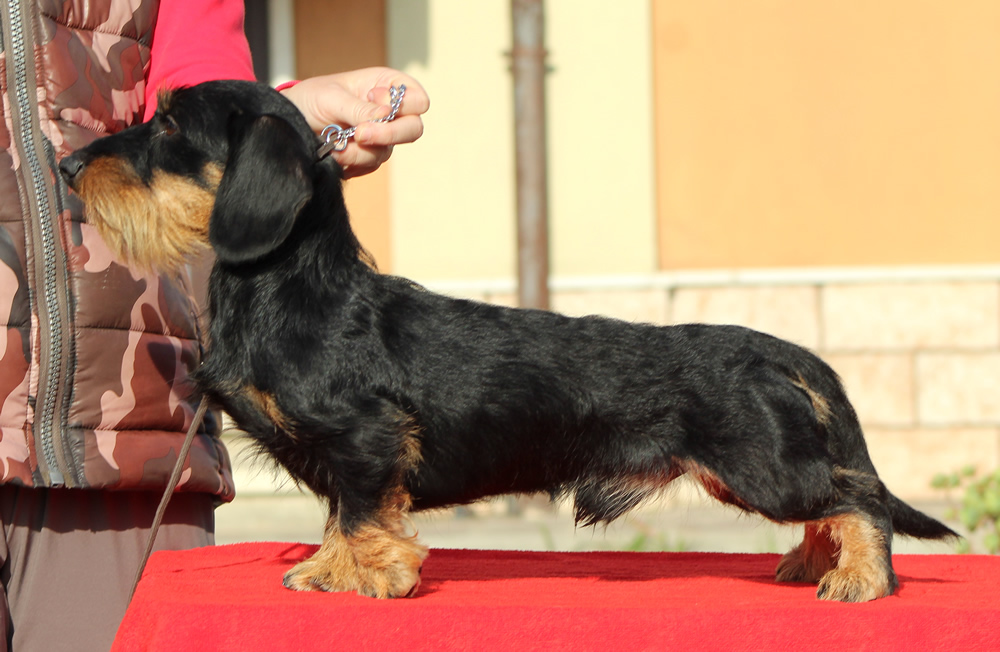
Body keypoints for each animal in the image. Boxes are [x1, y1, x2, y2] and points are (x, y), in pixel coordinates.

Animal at [58, 80, 956, 600]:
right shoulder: (346, 455)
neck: (293, 289)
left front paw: (363, 575)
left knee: (860, 501)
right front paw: (334, 567)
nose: (67, 167)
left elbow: (358, 513)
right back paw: (816, 563)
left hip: (761, 470)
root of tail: (777, 350)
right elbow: (340, 514)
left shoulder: (365, 439)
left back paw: (859, 579)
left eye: (167, 126)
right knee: (839, 502)